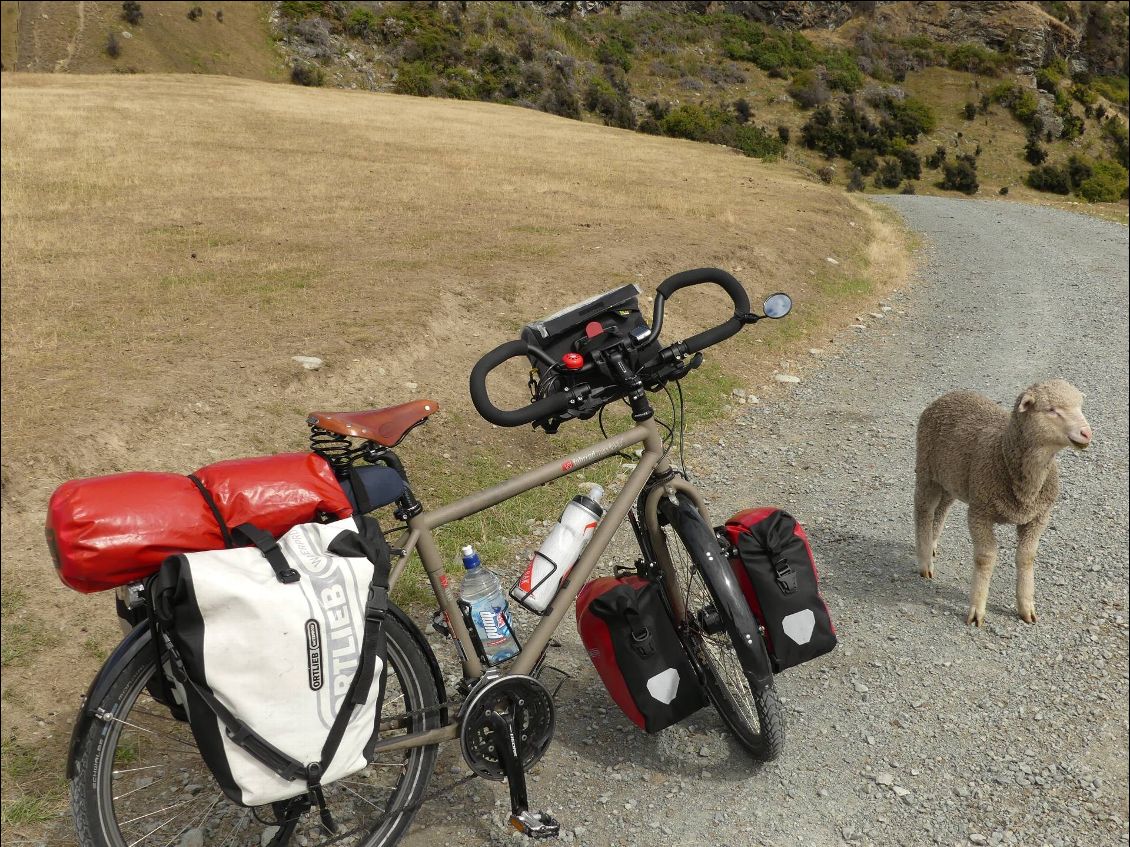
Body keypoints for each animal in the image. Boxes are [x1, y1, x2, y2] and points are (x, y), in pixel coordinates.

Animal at [917, 381, 1093, 627]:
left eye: (1080, 405)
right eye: (1051, 410)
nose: (1087, 433)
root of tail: (949, 395)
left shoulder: (1039, 516)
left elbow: (1026, 556)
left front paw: (1026, 607)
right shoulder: (979, 513)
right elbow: (986, 558)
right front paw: (977, 610)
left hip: (952, 479)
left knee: (942, 509)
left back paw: (932, 544)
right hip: (927, 471)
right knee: (924, 510)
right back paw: (925, 561)